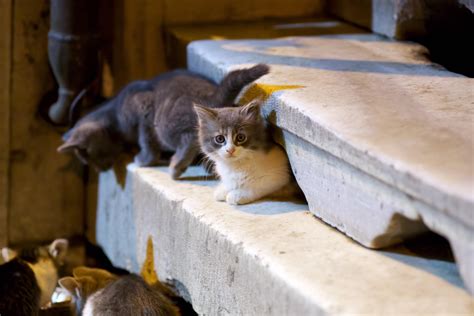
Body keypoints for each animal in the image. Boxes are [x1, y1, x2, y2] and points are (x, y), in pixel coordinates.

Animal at [57, 63, 268, 180]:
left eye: (91, 156)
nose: (101, 171)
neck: (114, 114)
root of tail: (213, 96)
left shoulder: (143, 112)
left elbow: (147, 143)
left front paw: (142, 159)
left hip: (168, 126)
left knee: (189, 139)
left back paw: (176, 166)